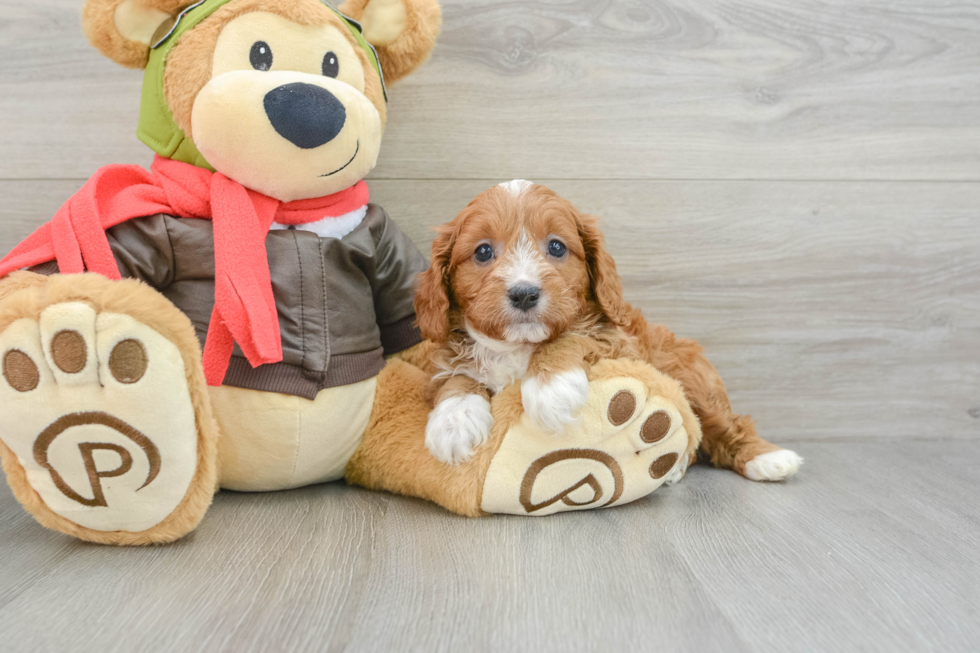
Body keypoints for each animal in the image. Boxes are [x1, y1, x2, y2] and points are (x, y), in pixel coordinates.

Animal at [414, 181, 804, 482]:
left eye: (556, 246)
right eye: (482, 252)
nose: (524, 293)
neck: (518, 346)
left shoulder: (620, 344)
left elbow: (571, 337)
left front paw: (550, 390)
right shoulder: (448, 357)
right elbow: (456, 376)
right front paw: (454, 421)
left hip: (692, 376)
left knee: (723, 424)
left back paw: (767, 459)